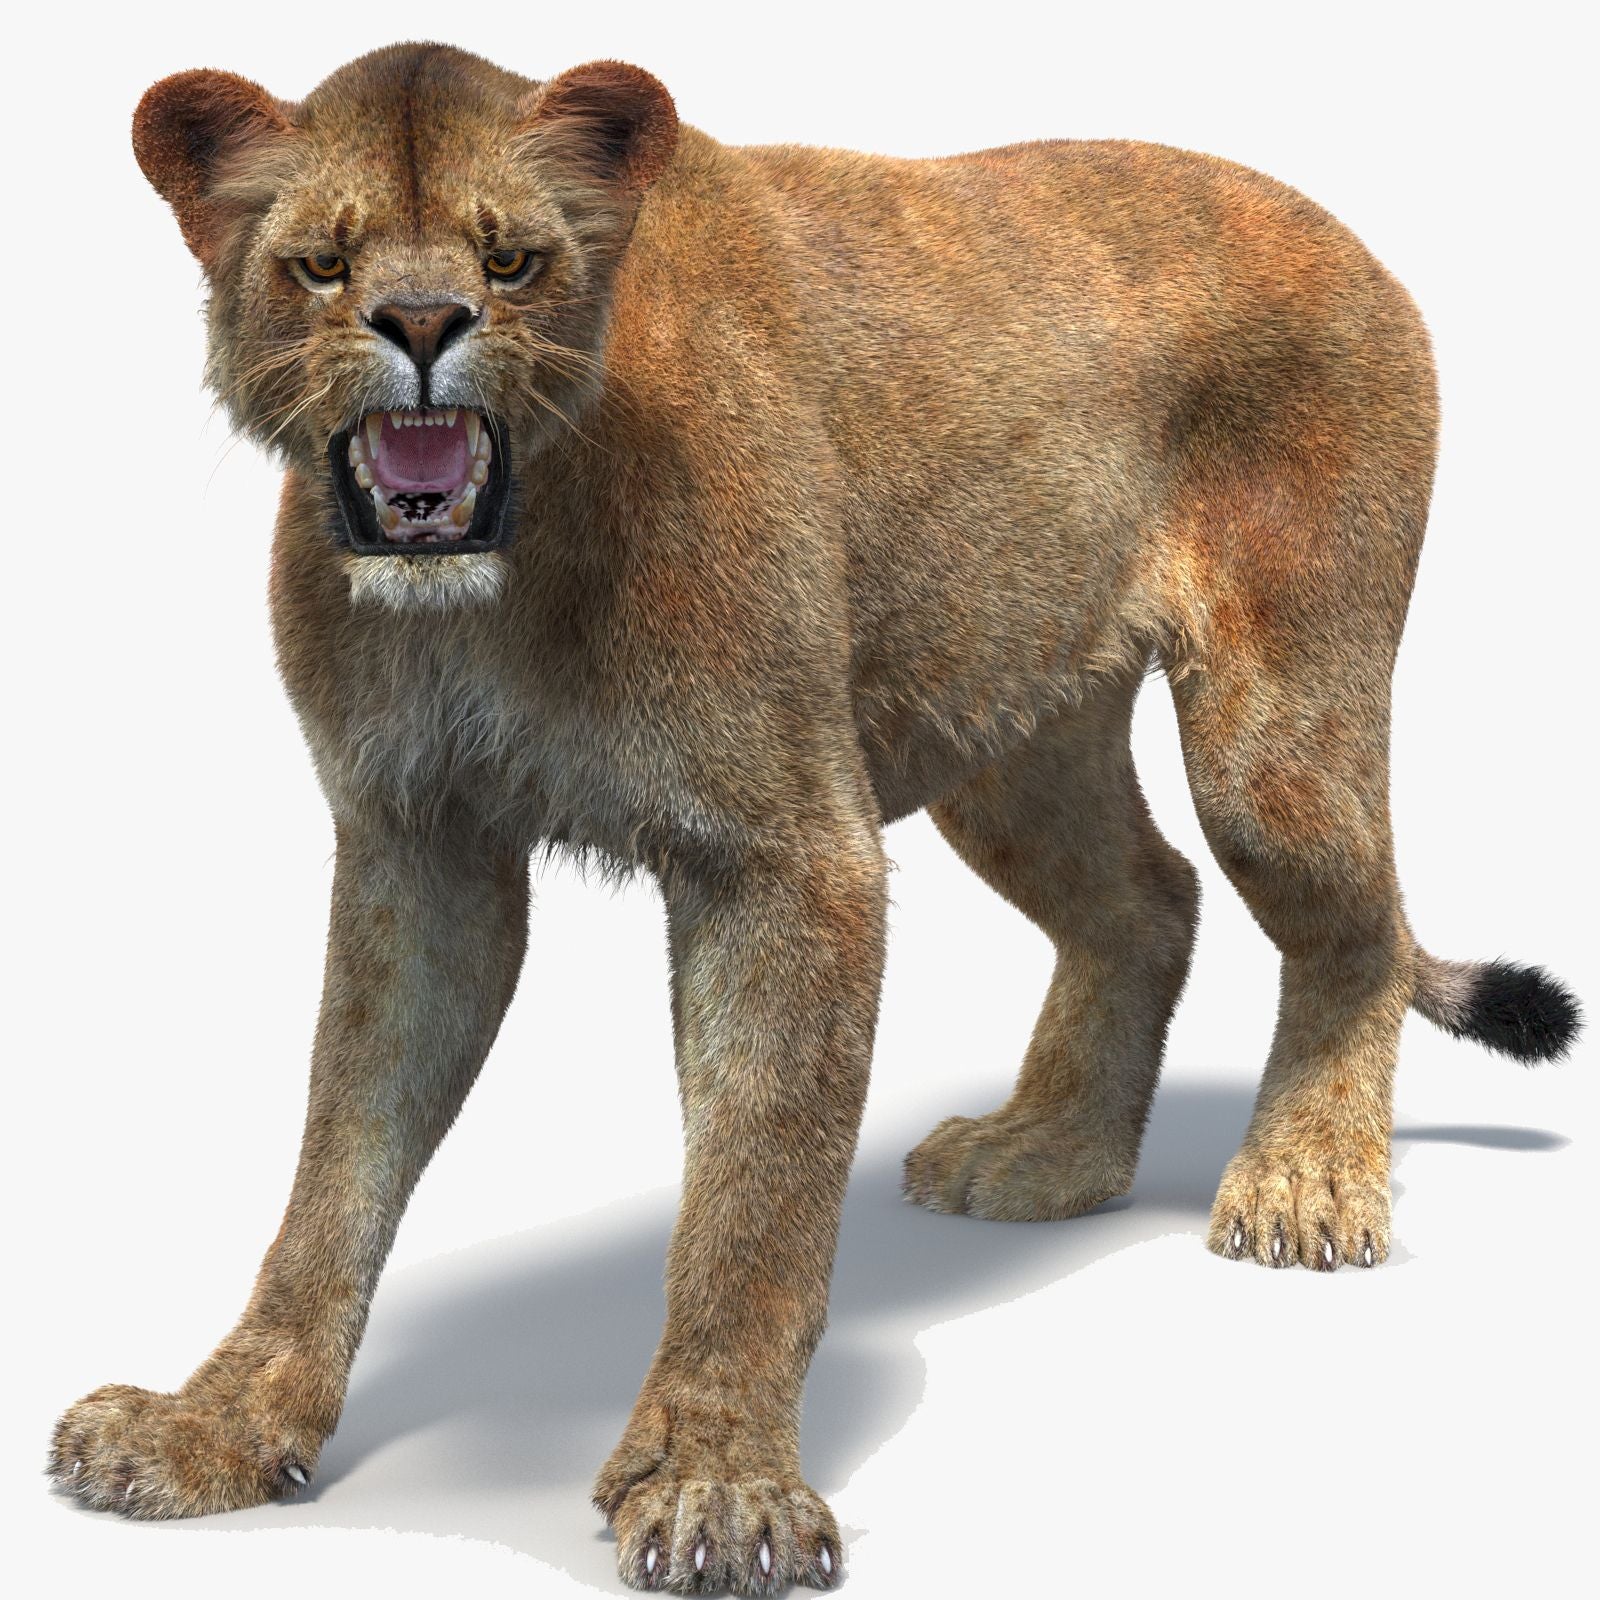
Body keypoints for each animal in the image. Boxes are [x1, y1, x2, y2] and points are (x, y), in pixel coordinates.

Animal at [48, 40, 1579, 1595]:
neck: (504, 572)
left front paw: (721, 1488)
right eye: (322, 262)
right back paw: (1050, 1154)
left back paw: (1303, 1184)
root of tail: (1347, 237)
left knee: (1355, 925)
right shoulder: (419, 842)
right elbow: (338, 1152)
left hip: (1271, 738)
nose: (423, 323)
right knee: (1150, 896)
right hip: (1003, 735)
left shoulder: (783, 854)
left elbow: (756, 1189)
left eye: (511, 258)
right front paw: (217, 1425)